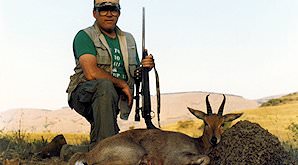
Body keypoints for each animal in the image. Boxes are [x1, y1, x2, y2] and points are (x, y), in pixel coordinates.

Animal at [69, 94, 242, 165]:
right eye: (205, 122)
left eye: (222, 123)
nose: (214, 139)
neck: (197, 143)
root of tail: (90, 153)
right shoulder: (174, 158)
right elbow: (206, 159)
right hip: (133, 156)